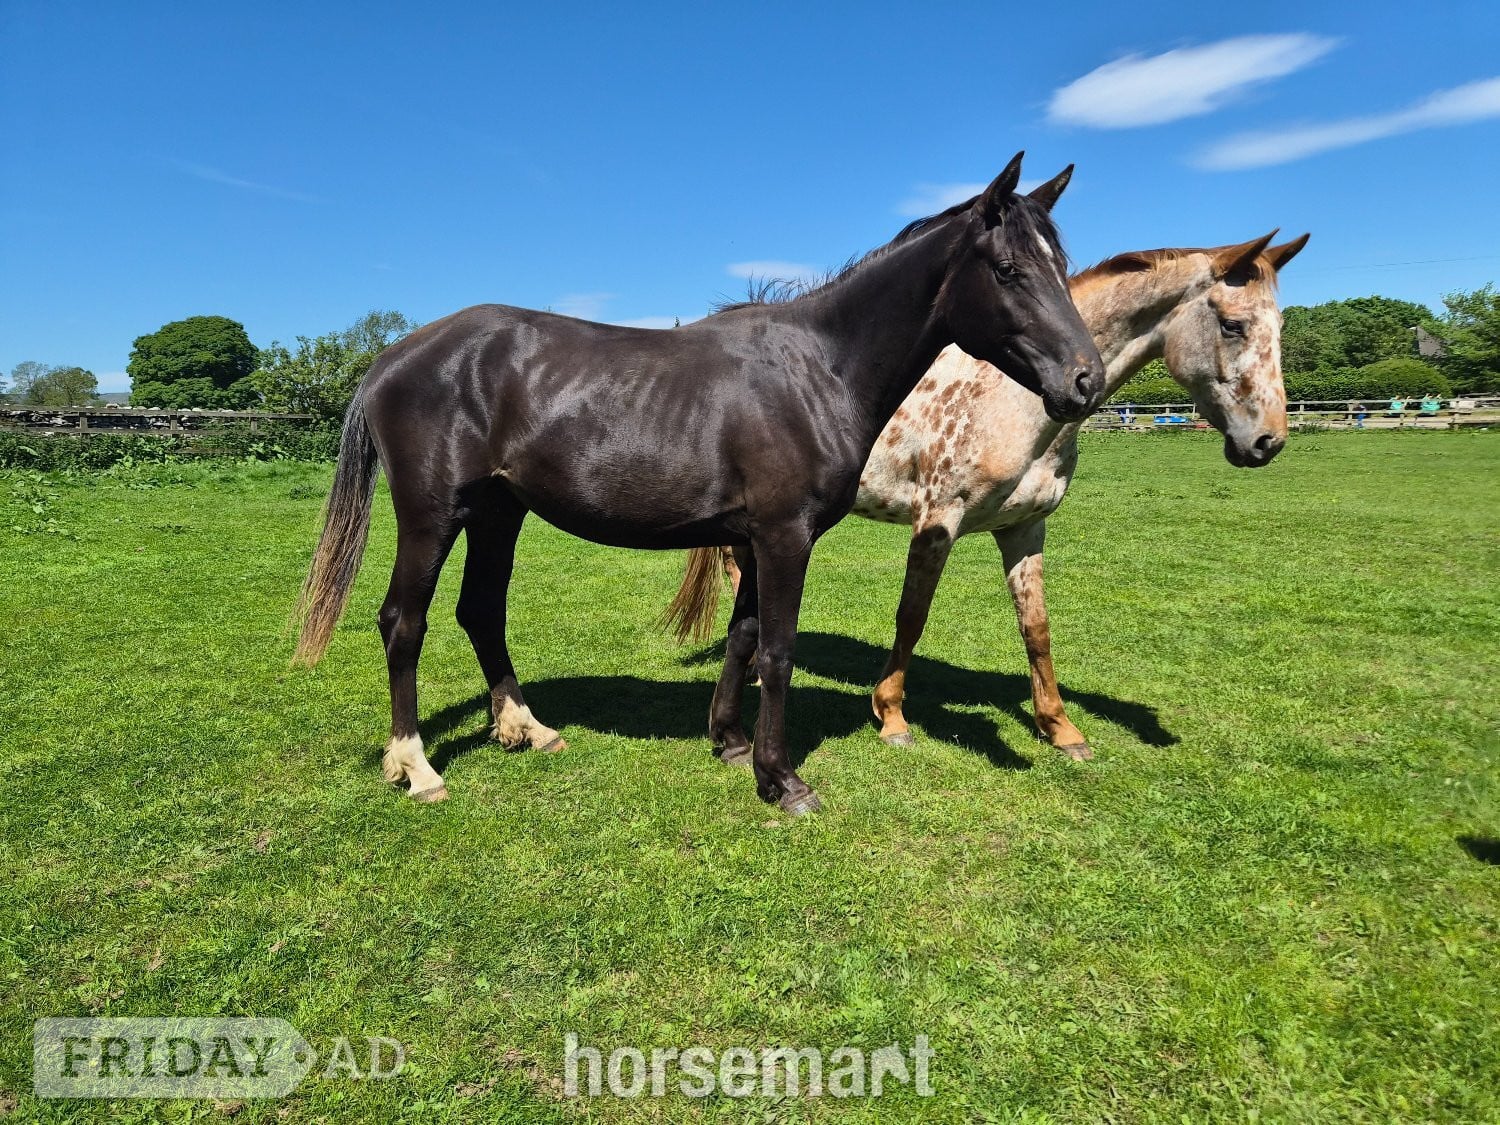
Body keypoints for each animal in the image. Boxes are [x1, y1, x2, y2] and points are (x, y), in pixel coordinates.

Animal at [293, 153, 1107, 816]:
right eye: (1008, 270)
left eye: (1059, 267)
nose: (1086, 382)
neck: (818, 370)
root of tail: (396, 356)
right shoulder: (783, 536)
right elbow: (776, 650)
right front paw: (783, 781)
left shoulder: (751, 537)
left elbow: (742, 638)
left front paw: (731, 744)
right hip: (433, 514)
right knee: (404, 622)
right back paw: (416, 766)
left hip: (499, 512)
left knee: (481, 611)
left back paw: (526, 729)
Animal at [664, 231, 1309, 759]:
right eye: (1232, 325)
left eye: (1279, 329)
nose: (1268, 441)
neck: (1014, 396)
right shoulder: (937, 522)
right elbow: (911, 616)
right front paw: (890, 715)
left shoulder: (1025, 528)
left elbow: (1037, 628)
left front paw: (1060, 728)